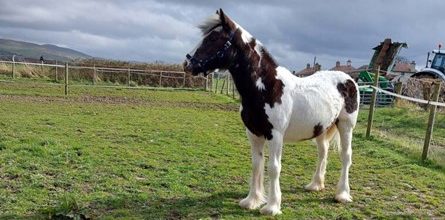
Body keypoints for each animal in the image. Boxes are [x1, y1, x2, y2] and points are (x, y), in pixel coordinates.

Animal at [182, 9, 360, 217]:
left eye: (214, 38)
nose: (187, 64)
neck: (266, 87)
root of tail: (349, 80)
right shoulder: (253, 134)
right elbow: (256, 165)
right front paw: (251, 201)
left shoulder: (275, 135)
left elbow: (273, 168)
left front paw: (272, 207)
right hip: (322, 129)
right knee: (322, 153)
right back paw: (315, 185)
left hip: (346, 126)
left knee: (346, 156)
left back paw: (342, 195)